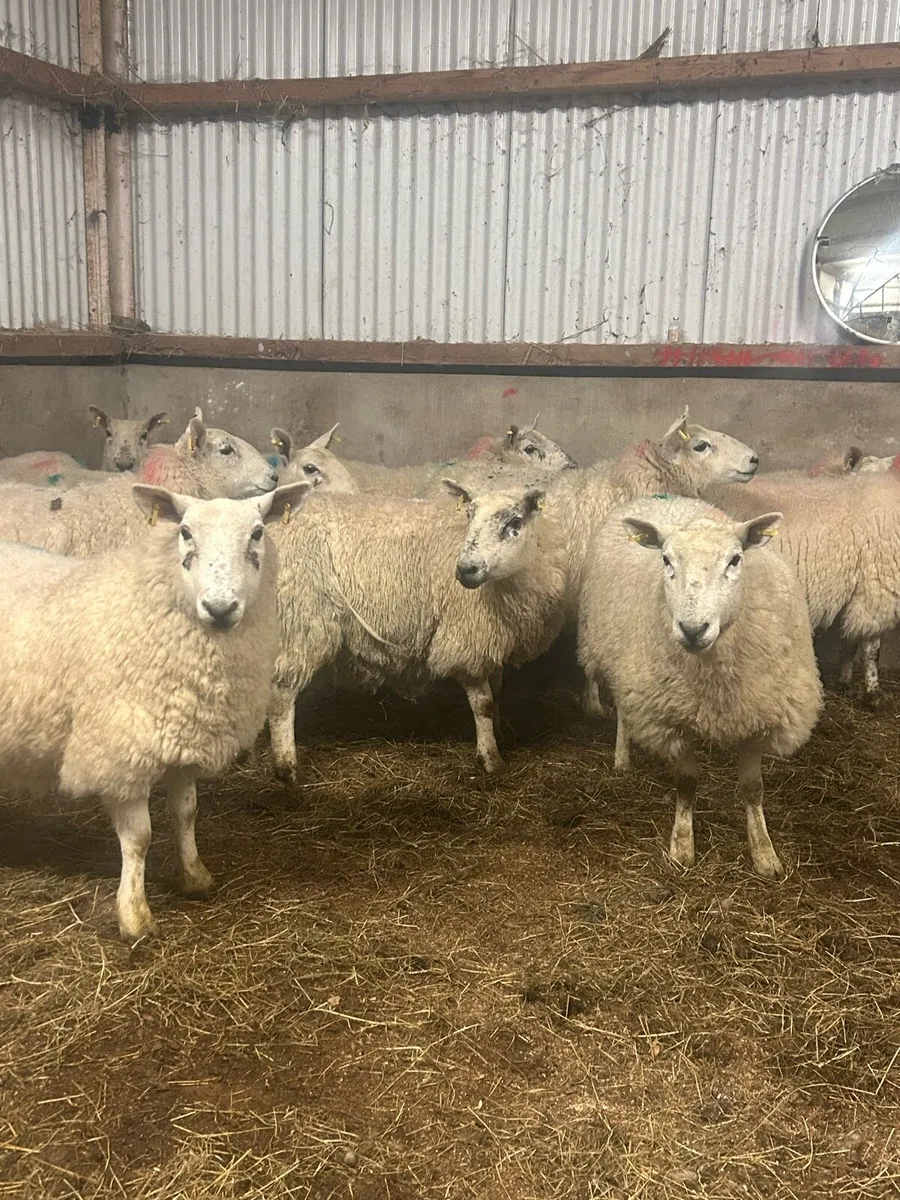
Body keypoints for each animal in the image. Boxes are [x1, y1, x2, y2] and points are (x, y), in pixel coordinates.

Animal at [0, 480, 307, 939]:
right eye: (185, 531)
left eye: (257, 533)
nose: (219, 609)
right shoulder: (121, 749)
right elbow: (139, 838)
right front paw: (134, 916)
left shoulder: (186, 734)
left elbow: (186, 813)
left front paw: (195, 876)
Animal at [266, 474, 568, 781]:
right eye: (469, 515)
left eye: (515, 522)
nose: (465, 569)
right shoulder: (466, 641)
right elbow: (483, 703)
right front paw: (490, 758)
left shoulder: (493, 640)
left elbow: (497, 694)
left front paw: (500, 736)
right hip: (298, 624)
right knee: (281, 697)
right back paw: (287, 768)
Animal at [578, 496, 822, 878]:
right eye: (666, 559)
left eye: (735, 559)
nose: (693, 629)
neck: (715, 677)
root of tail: (664, 497)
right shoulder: (671, 716)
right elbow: (687, 784)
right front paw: (682, 846)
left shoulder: (758, 715)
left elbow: (753, 789)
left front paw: (764, 852)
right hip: (621, 660)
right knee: (623, 711)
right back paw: (622, 758)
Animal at [705, 468, 900, 709]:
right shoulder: (874, 592)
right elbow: (872, 650)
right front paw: (873, 693)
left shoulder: (855, 592)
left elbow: (848, 642)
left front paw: (845, 683)